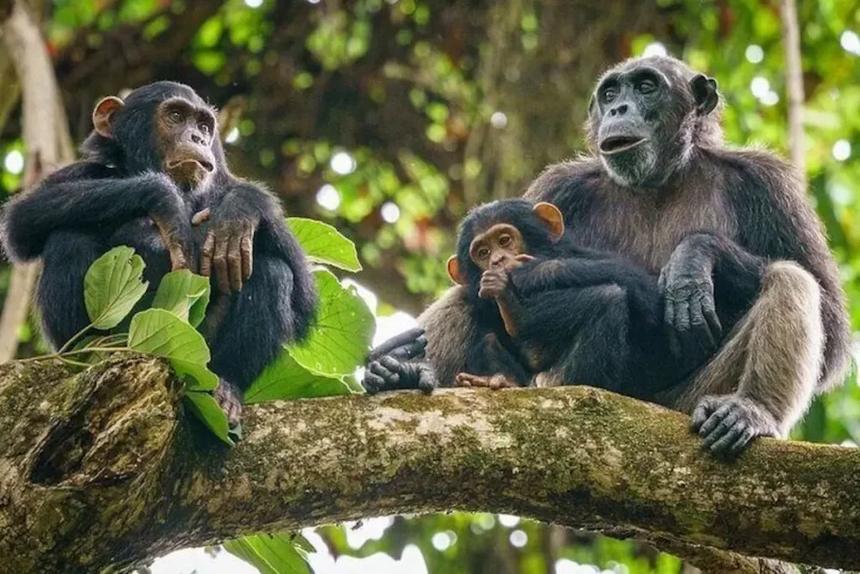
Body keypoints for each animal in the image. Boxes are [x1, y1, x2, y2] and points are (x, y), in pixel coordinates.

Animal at [1, 82, 318, 431]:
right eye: (176, 116)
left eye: (204, 126)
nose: (197, 138)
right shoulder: (81, 172)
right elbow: (23, 218)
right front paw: (163, 199)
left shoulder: (222, 183)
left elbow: (303, 290)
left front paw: (241, 208)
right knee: (67, 236)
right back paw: (90, 354)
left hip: (196, 357)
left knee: (274, 270)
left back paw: (226, 389)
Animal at [364, 55, 849, 457]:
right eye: (611, 93)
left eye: (647, 87)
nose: (619, 110)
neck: (658, 179)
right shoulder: (559, 186)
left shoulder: (768, 182)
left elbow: (831, 321)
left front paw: (693, 259)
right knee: (466, 299)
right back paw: (400, 372)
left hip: (687, 402)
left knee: (790, 279)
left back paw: (749, 410)